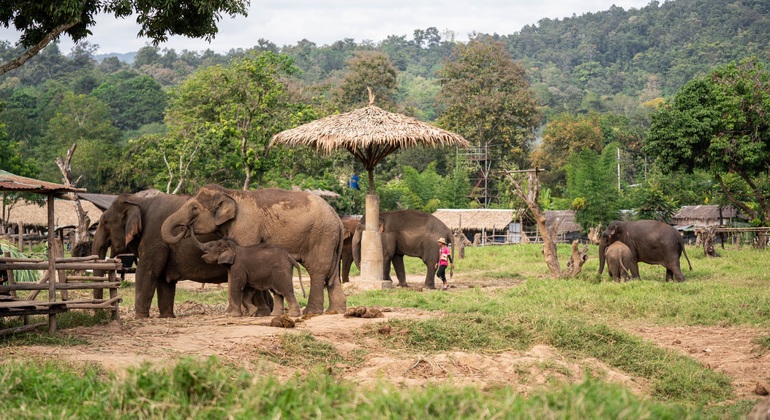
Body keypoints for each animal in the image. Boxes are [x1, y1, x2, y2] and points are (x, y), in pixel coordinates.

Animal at [92, 189, 273, 319]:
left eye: (105, 222)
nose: (100, 314)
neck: (138, 199)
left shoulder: (154, 238)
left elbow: (147, 272)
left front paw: (140, 317)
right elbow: (164, 279)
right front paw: (167, 317)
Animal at [161, 184, 346, 314]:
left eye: (194, 208)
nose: (187, 227)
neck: (231, 193)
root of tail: (337, 217)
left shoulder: (245, 227)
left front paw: (255, 313)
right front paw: (233, 312)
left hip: (321, 236)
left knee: (318, 270)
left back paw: (311, 312)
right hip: (331, 240)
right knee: (332, 273)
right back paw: (335, 311)